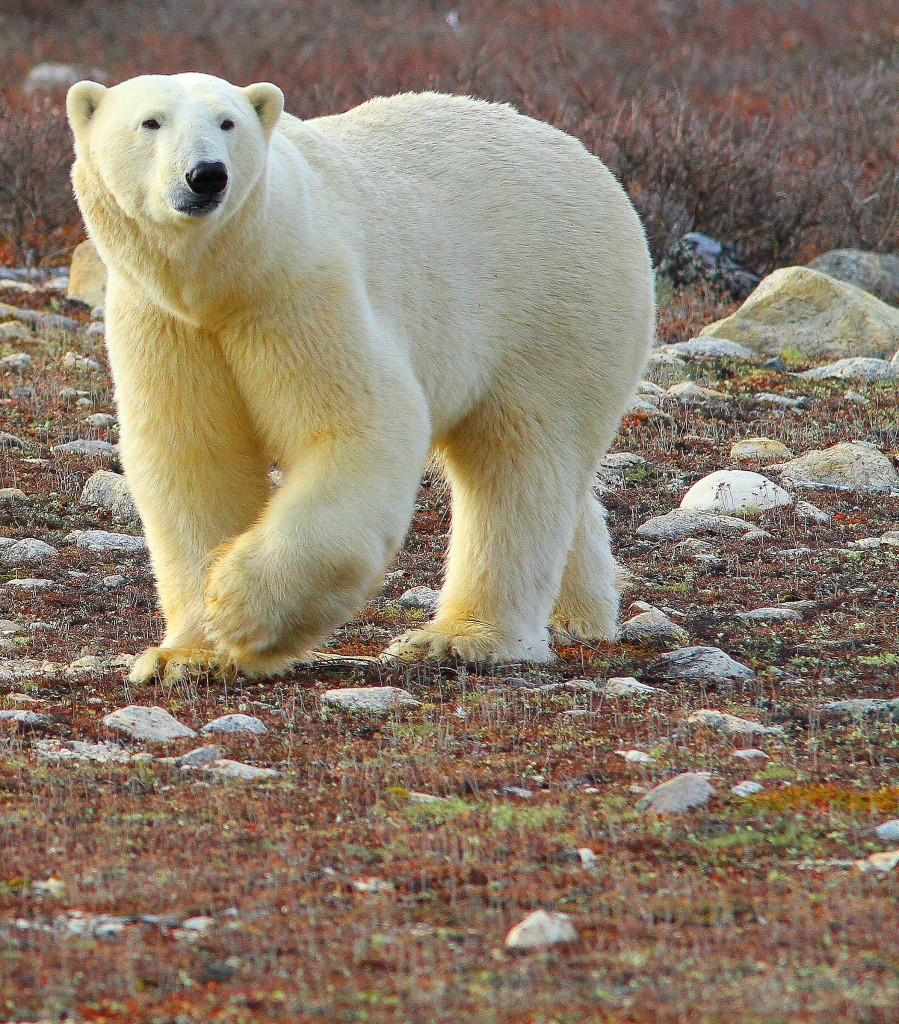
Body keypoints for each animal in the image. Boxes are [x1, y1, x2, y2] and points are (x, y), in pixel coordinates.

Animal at [66, 73, 655, 683]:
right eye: (150, 122)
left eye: (227, 122)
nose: (206, 175)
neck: (222, 282)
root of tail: (594, 165)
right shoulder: (164, 321)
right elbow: (193, 454)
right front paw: (187, 655)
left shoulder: (301, 289)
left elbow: (359, 426)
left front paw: (239, 607)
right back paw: (575, 617)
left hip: (555, 310)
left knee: (520, 460)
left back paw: (461, 638)